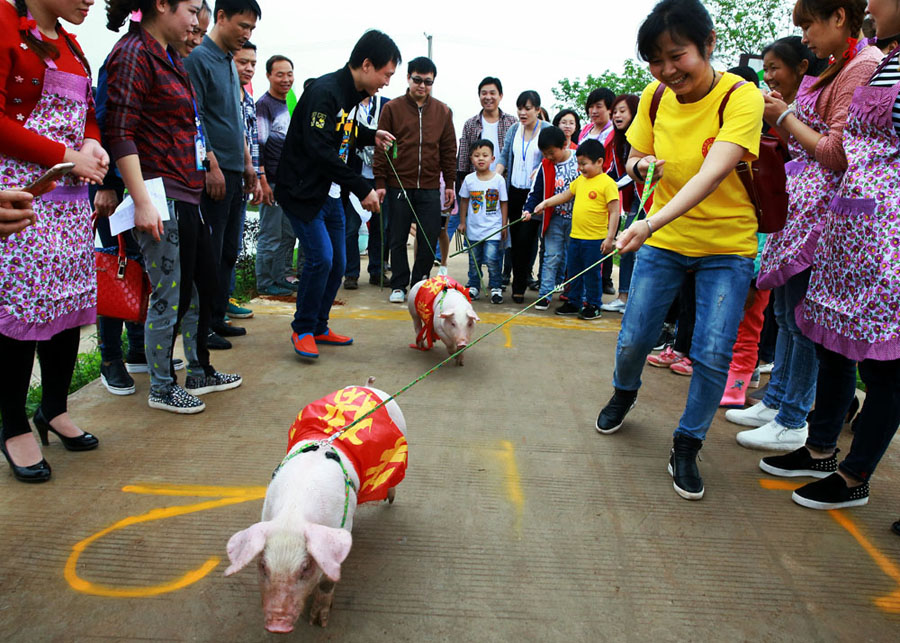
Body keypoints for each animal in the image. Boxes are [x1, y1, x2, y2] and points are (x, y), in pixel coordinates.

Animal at [225, 380, 408, 636]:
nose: (277, 625)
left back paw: (389, 500)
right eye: (263, 566)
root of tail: (368, 386)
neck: (293, 512)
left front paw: (318, 622)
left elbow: (328, 579)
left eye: (305, 567)